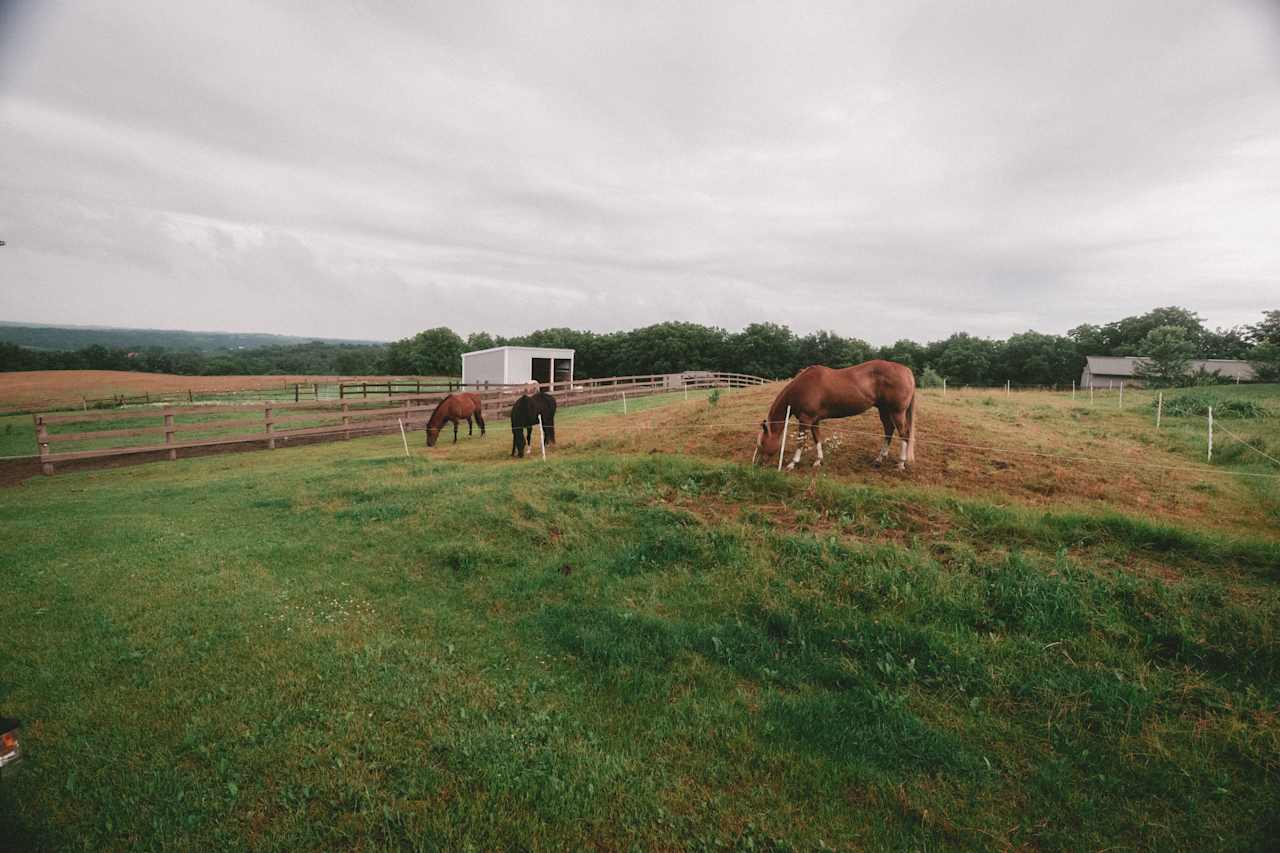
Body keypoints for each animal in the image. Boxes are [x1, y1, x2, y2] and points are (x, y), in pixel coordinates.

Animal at [752, 356, 916, 468]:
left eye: (761, 443)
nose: (758, 464)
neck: (801, 388)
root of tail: (906, 371)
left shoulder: (805, 419)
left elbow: (802, 441)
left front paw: (793, 463)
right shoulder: (814, 420)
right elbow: (817, 439)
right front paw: (818, 461)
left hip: (897, 412)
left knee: (904, 434)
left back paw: (901, 463)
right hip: (884, 410)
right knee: (889, 430)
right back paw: (879, 459)